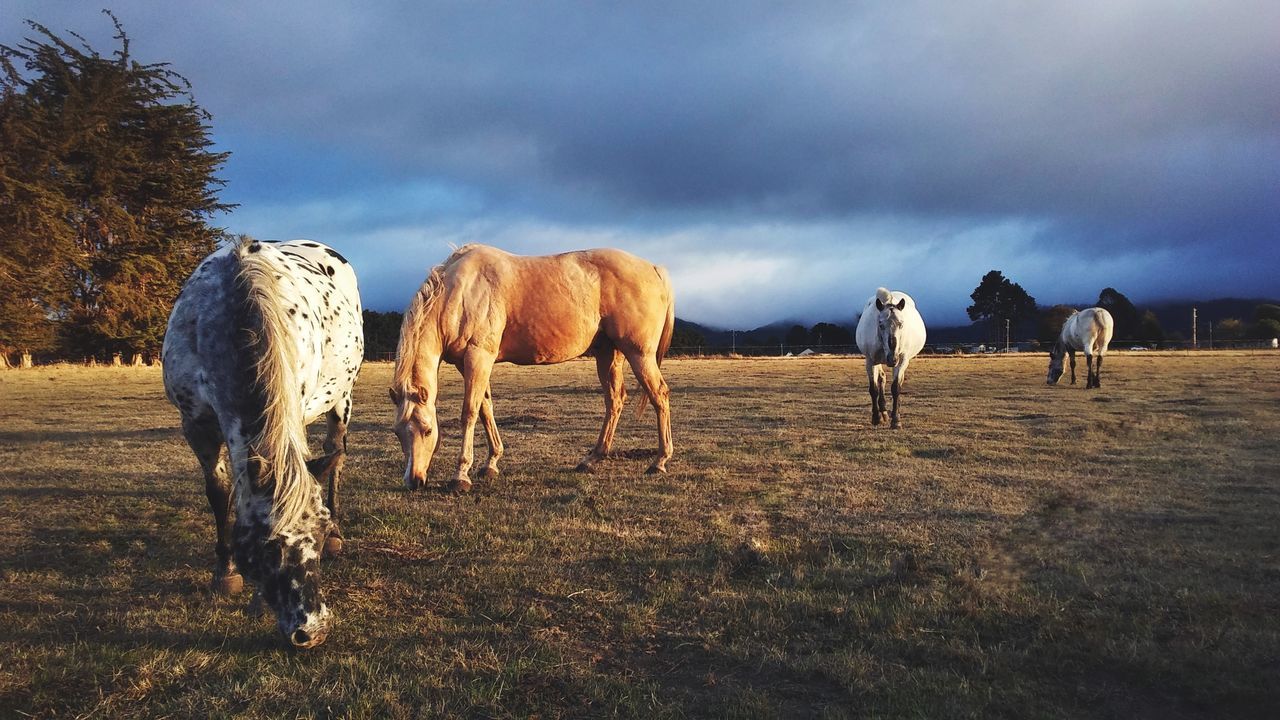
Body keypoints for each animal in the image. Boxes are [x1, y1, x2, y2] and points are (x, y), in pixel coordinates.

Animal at [161, 238, 360, 648]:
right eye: (266, 546)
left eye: (317, 533)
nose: (313, 631)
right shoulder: (196, 424)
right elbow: (219, 492)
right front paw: (225, 572)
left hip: (341, 398)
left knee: (336, 455)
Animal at [391, 243, 680, 489]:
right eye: (398, 433)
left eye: (428, 431)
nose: (414, 481)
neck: (462, 291)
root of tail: (654, 268)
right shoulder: (468, 363)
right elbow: (485, 408)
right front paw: (491, 463)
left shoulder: (478, 357)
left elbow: (470, 412)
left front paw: (461, 475)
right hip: (609, 354)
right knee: (615, 400)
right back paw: (592, 459)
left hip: (639, 354)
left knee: (659, 395)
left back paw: (659, 461)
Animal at [855, 285, 926, 427]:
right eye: (880, 324)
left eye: (901, 324)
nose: (892, 359)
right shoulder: (871, 360)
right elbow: (874, 389)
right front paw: (876, 418)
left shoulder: (902, 360)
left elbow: (896, 388)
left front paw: (896, 420)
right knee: (881, 378)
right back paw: (883, 412)